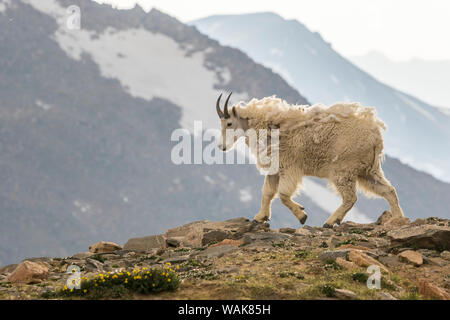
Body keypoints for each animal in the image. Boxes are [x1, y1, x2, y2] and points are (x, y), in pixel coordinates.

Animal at [216, 92, 406, 228]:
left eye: (229, 123)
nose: (221, 147)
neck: (268, 124)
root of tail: (376, 137)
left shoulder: (289, 167)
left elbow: (283, 195)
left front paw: (302, 215)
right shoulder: (276, 169)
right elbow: (267, 193)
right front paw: (260, 217)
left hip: (344, 170)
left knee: (350, 198)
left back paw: (330, 221)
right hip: (367, 171)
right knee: (388, 191)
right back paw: (398, 219)